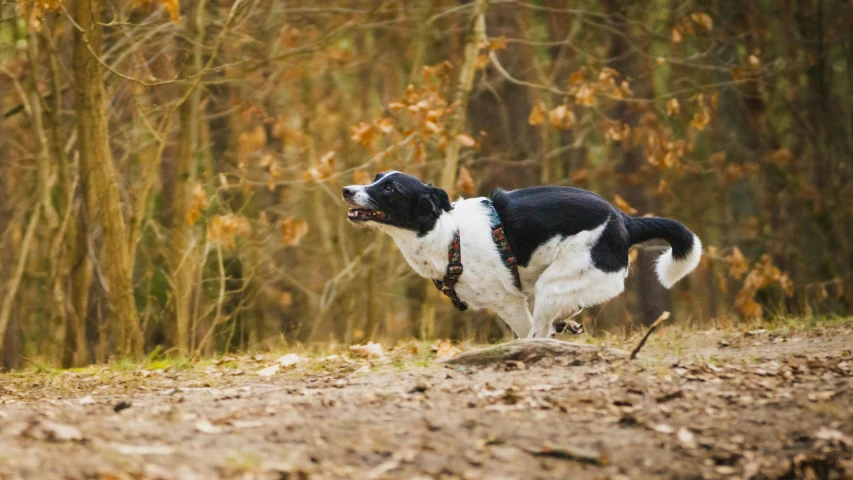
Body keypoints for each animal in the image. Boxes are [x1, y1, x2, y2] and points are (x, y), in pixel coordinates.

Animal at [342, 171, 704, 340]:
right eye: (376, 179)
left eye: (389, 189)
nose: (346, 190)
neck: (445, 233)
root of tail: (624, 221)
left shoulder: (509, 302)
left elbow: (525, 328)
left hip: (553, 283)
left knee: (539, 332)